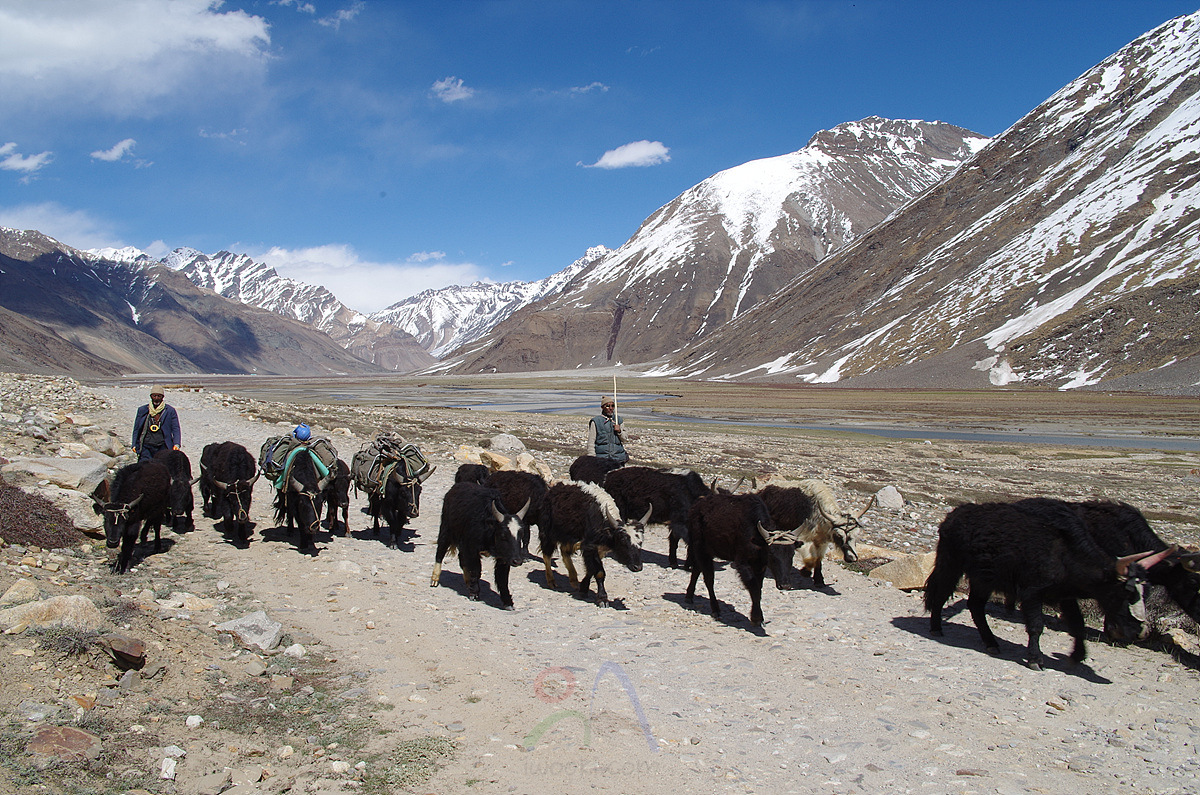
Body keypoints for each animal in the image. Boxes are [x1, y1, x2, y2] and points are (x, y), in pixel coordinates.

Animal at [685, 492, 784, 626]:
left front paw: (759, 618)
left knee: (697, 569)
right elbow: (753, 586)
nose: (785, 584)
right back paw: (715, 610)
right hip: (700, 547)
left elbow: (758, 587)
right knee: (708, 578)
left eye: (792, 554)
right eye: (772, 554)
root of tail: (695, 506)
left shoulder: (760, 565)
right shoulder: (743, 562)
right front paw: (756, 618)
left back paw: (689, 596)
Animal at [924, 498, 1173, 670]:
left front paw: (1077, 656)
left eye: (1147, 591)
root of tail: (951, 517)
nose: (1139, 632)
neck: (1066, 553)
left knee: (975, 606)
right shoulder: (1031, 592)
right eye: (1125, 592)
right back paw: (936, 628)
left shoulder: (1066, 595)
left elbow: (1077, 625)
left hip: (983, 579)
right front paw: (1036, 660)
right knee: (940, 593)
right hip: (952, 565)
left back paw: (991, 643)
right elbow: (1036, 626)